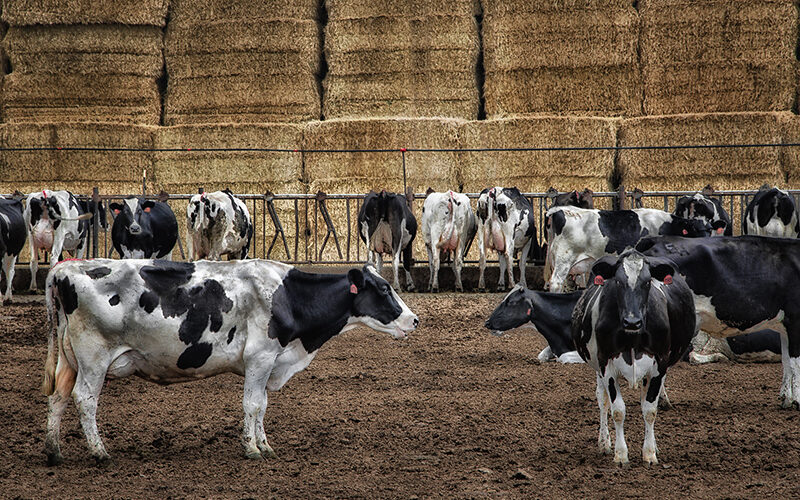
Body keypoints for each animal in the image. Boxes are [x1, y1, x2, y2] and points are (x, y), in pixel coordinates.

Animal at [42, 259, 418, 465]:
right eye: (384, 290)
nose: (414, 320)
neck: (287, 296)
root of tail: (65, 268)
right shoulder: (260, 357)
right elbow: (252, 404)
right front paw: (251, 448)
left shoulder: (268, 362)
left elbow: (262, 405)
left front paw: (265, 445)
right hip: (94, 358)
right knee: (85, 400)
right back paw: (99, 452)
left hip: (69, 359)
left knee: (58, 398)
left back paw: (54, 451)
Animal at [571, 250, 695, 466]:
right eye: (618, 282)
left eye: (647, 282)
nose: (632, 321)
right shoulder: (606, 364)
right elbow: (617, 410)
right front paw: (620, 454)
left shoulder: (660, 364)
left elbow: (650, 409)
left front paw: (650, 453)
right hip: (596, 364)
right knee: (602, 399)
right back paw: (604, 443)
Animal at [636, 235, 800, 409]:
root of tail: (656, 238)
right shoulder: (795, 319)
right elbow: (796, 363)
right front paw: (797, 400)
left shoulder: (784, 326)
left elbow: (786, 362)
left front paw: (786, 398)